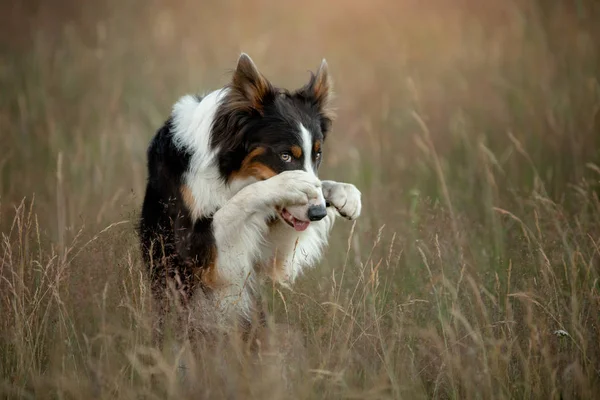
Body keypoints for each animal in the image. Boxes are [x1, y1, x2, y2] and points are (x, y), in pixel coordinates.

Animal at [138, 51, 360, 342]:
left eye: (318, 154)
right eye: (285, 156)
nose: (319, 213)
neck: (226, 172)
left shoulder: (266, 253)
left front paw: (343, 193)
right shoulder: (194, 251)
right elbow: (237, 203)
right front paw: (290, 183)